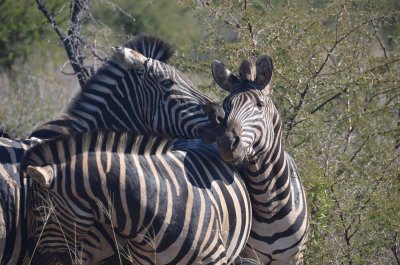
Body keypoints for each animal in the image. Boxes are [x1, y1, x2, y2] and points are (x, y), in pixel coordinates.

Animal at [208, 54, 310, 262]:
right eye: (225, 106)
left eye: (259, 105)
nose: (227, 143)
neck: (269, 203)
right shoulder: (245, 256)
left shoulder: (296, 257)